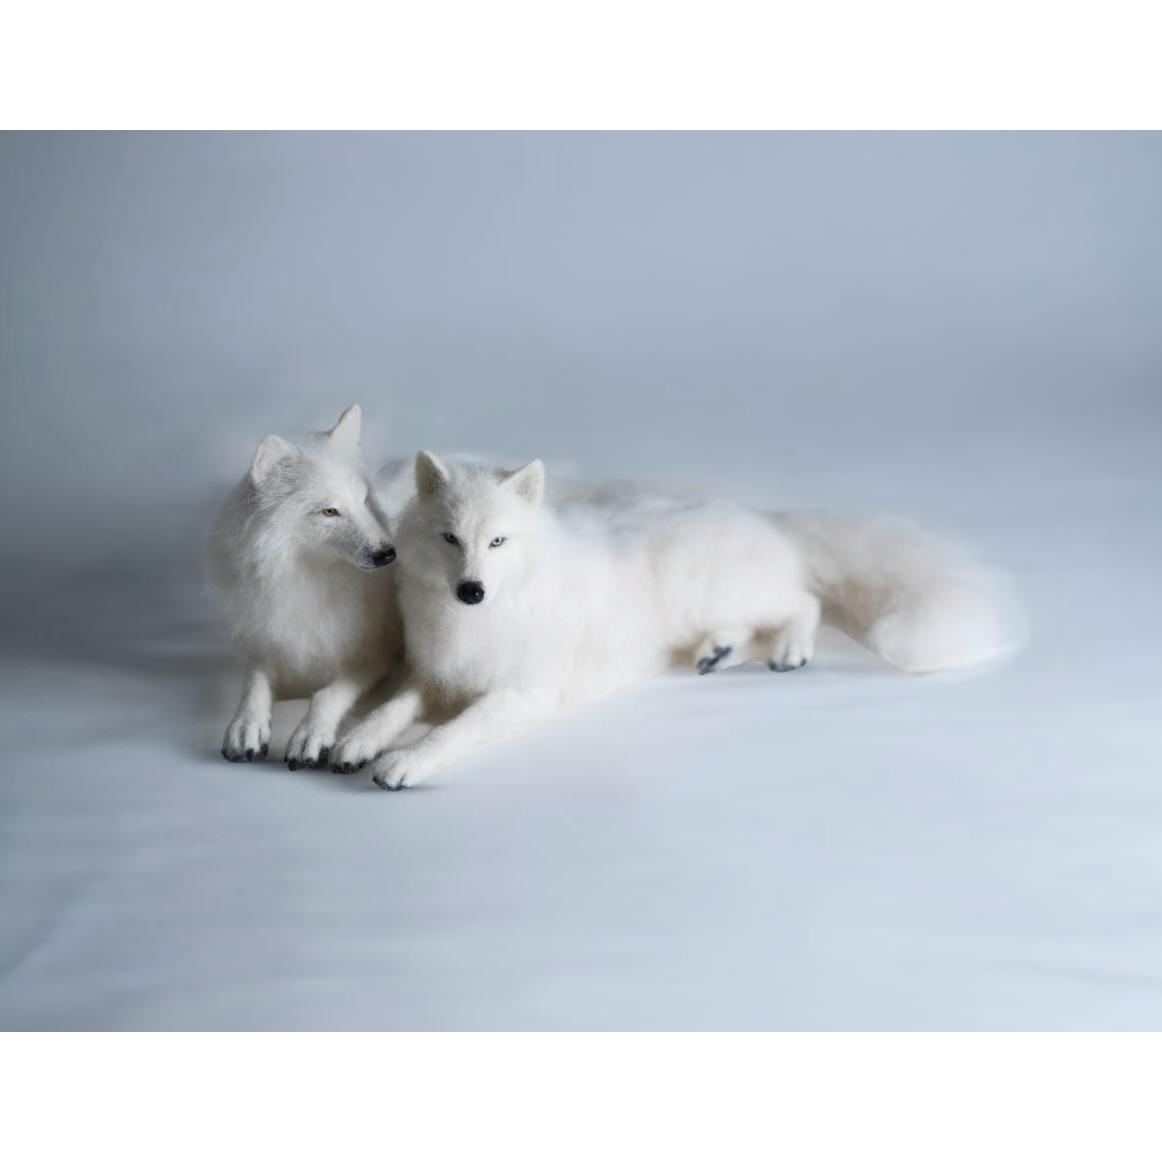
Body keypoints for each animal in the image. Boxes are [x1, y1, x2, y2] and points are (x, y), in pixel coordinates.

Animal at [209, 405, 402, 768]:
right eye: (329, 511)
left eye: (364, 500)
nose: (388, 554)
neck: (313, 583)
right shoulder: (268, 645)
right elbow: (252, 686)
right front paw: (246, 726)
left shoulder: (374, 656)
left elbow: (326, 695)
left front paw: (310, 734)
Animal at [332, 453, 1021, 789]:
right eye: (450, 539)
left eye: (498, 542)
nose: (471, 591)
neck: (482, 622)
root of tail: (760, 516)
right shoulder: (431, 672)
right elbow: (389, 710)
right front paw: (356, 742)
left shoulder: (522, 694)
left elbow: (450, 733)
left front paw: (402, 763)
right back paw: (718, 654)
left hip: (721, 591)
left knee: (803, 601)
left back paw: (789, 650)